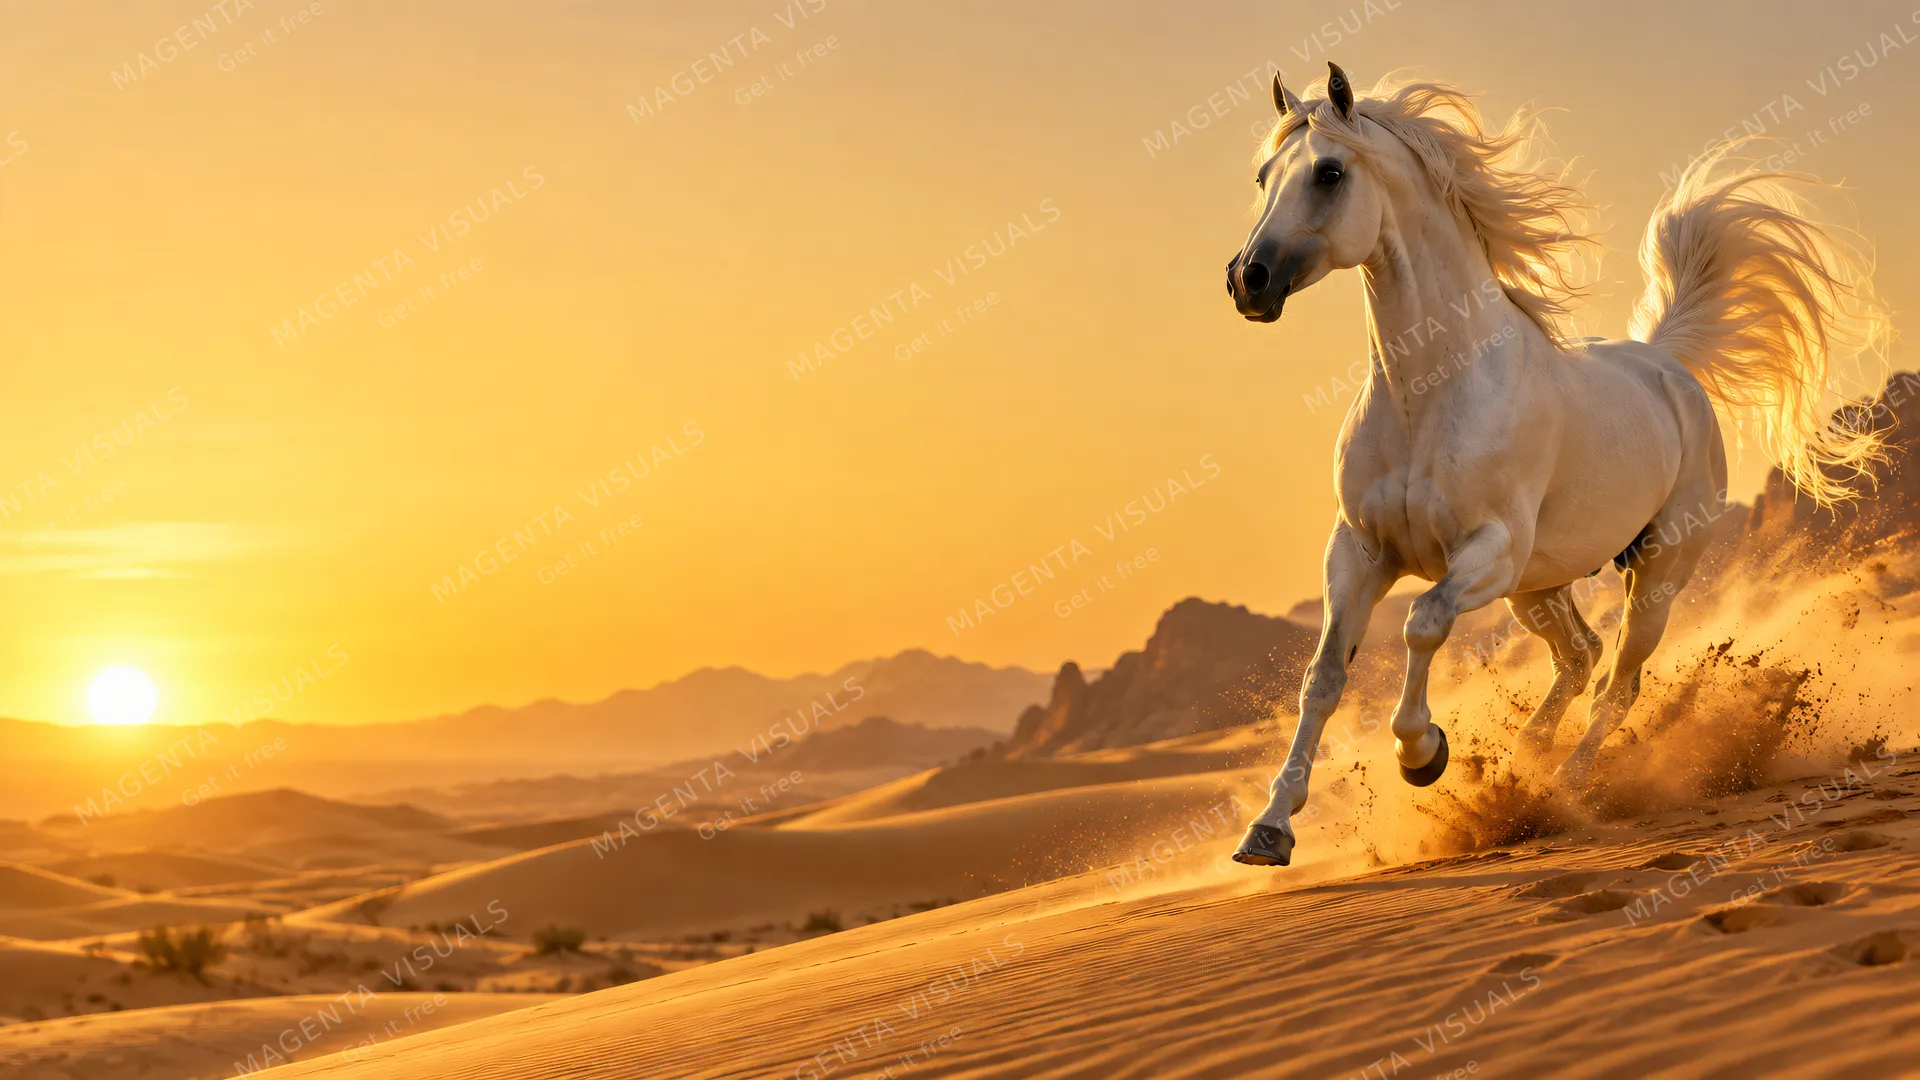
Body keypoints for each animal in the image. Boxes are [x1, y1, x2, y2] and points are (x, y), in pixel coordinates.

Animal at [1223, 64, 1885, 867]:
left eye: (1329, 172)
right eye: (1264, 176)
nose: (1248, 280)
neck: (1433, 390)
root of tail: (1668, 366)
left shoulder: (1488, 553)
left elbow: (1422, 622)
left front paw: (1424, 753)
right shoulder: (1358, 553)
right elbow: (1322, 679)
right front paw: (1268, 830)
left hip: (1652, 578)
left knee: (1617, 683)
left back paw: (1565, 785)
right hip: (1538, 588)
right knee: (1579, 656)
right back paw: (1521, 766)